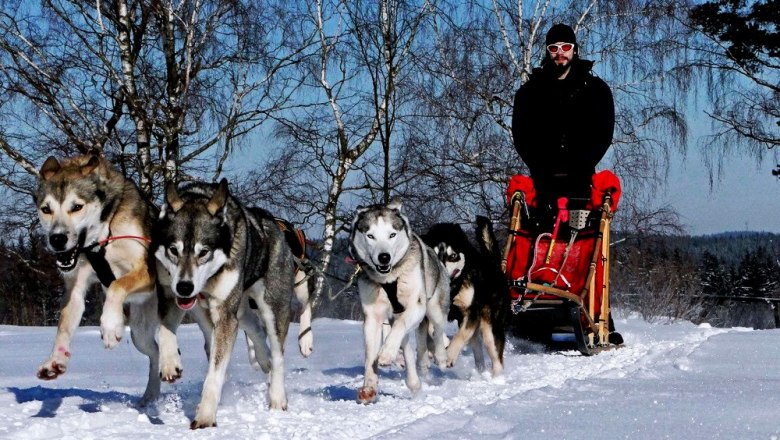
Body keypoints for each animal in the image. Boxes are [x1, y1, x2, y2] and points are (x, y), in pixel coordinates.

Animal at [33, 155, 181, 406]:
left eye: (76, 207)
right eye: (46, 209)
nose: (57, 239)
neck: (102, 235)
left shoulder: (146, 272)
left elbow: (116, 285)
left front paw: (110, 325)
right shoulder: (76, 287)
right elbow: (64, 325)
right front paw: (56, 360)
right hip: (140, 332)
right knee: (154, 352)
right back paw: (150, 395)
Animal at [152, 179, 310, 430]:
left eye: (203, 252)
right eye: (173, 250)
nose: (185, 287)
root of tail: (275, 226)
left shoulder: (225, 315)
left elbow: (215, 373)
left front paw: (205, 416)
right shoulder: (169, 293)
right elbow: (166, 328)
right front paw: (169, 363)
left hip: (272, 306)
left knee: (277, 353)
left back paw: (277, 396)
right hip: (241, 310)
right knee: (254, 329)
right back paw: (262, 358)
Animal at [348, 198, 450, 404]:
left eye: (392, 234)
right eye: (370, 236)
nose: (384, 257)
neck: (389, 279)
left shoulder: (415, 306)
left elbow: (401, 324)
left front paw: (387, 352)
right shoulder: (373, 315)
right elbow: (370, 354)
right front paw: (369, 387)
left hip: (435, 307)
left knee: (437, 330)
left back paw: (441, 358)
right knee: (410, 349)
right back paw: (415, 378)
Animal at [424, 217, 508, 378]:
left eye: (452, 256)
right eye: (433, 254)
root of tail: (494, 265)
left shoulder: (471, 313)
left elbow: (460, 336)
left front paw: (449, 355)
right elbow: (432, 329)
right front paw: (442, 344)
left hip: (489, 328)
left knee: (497, 360)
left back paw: (496, 379)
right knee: (477, 348)